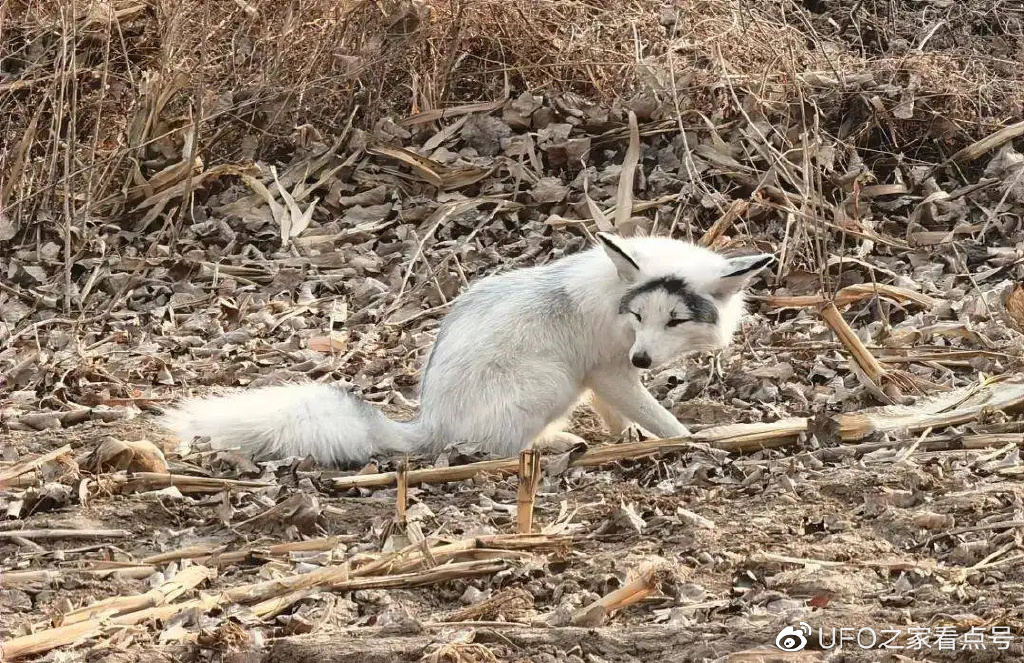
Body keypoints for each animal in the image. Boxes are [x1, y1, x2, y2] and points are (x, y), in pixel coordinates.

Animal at [159, 233, 770, 467]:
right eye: (639, 317)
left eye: (675, 320)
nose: (645, 357)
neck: (614, 297)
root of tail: (429, 421)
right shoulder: (607, 370)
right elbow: (659, 416)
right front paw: (690, 440)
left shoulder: (609, 376)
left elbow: (622, 416)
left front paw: (628, 439)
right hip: (551, 382)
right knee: (497, 447)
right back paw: (554, 445)